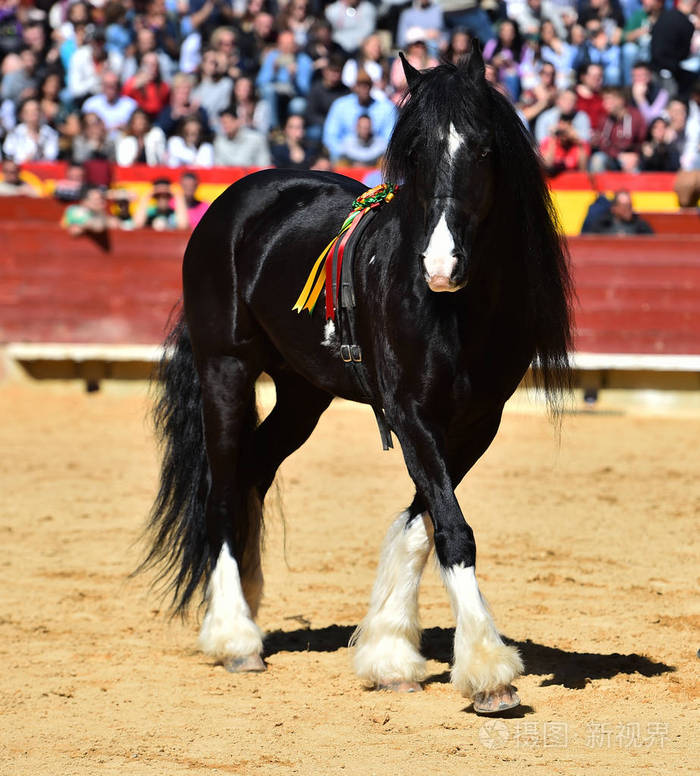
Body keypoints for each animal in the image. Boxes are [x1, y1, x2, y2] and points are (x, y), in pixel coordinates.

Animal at [142, 46, 573, 714]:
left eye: (481, 149)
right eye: (414, 152)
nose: (440, 267)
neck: (457, 311)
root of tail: (234, 200)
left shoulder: (478, 422)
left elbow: (424, 524)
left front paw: (390, 651)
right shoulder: (410, 412)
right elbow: (452, 529)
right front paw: (487, 671)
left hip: (301, 395)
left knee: (254, 473)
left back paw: (245, 607)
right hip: (226, 370)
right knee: (223, 489)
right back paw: (235, 637)